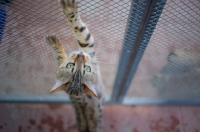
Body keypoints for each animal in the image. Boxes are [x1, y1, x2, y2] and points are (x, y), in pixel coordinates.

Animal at [45, 0, 104, 131]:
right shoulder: (87, 47)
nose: (81, 55)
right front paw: (69, 8)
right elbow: (81, 30)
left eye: (86, 68)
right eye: (70, 66)